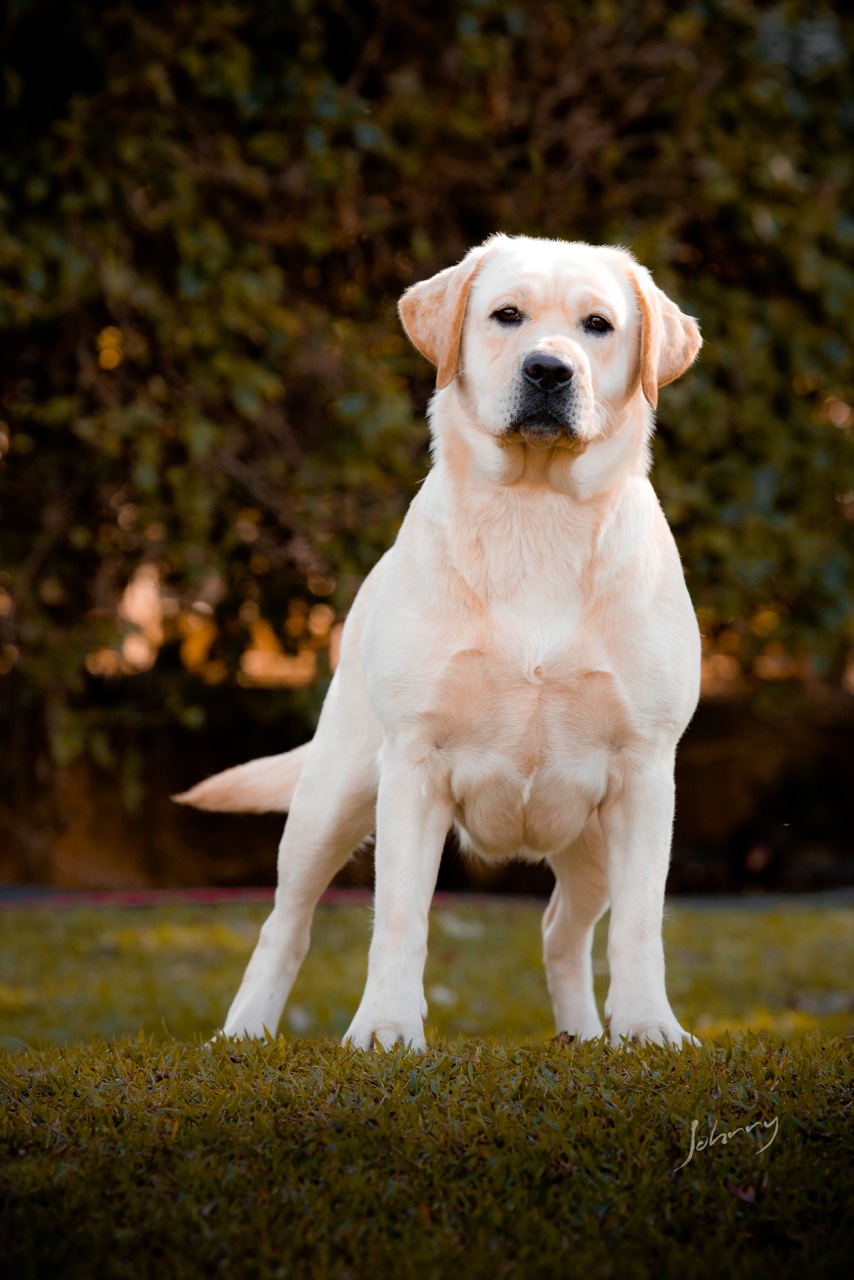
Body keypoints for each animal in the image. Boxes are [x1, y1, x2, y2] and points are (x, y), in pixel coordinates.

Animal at [179, 235, 701, 1044]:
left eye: (598, 326)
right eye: (506, 315)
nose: (548, 370)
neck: (536, 511)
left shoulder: (645, 774)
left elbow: (640, 926)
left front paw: (648, 1029)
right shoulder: (415, 765)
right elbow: (398, 917)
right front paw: (387, 1030)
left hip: (588, 843)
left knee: (563, 929)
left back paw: (585, 1038)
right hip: (331, 797)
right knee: (285, 924)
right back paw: (244, 1033)